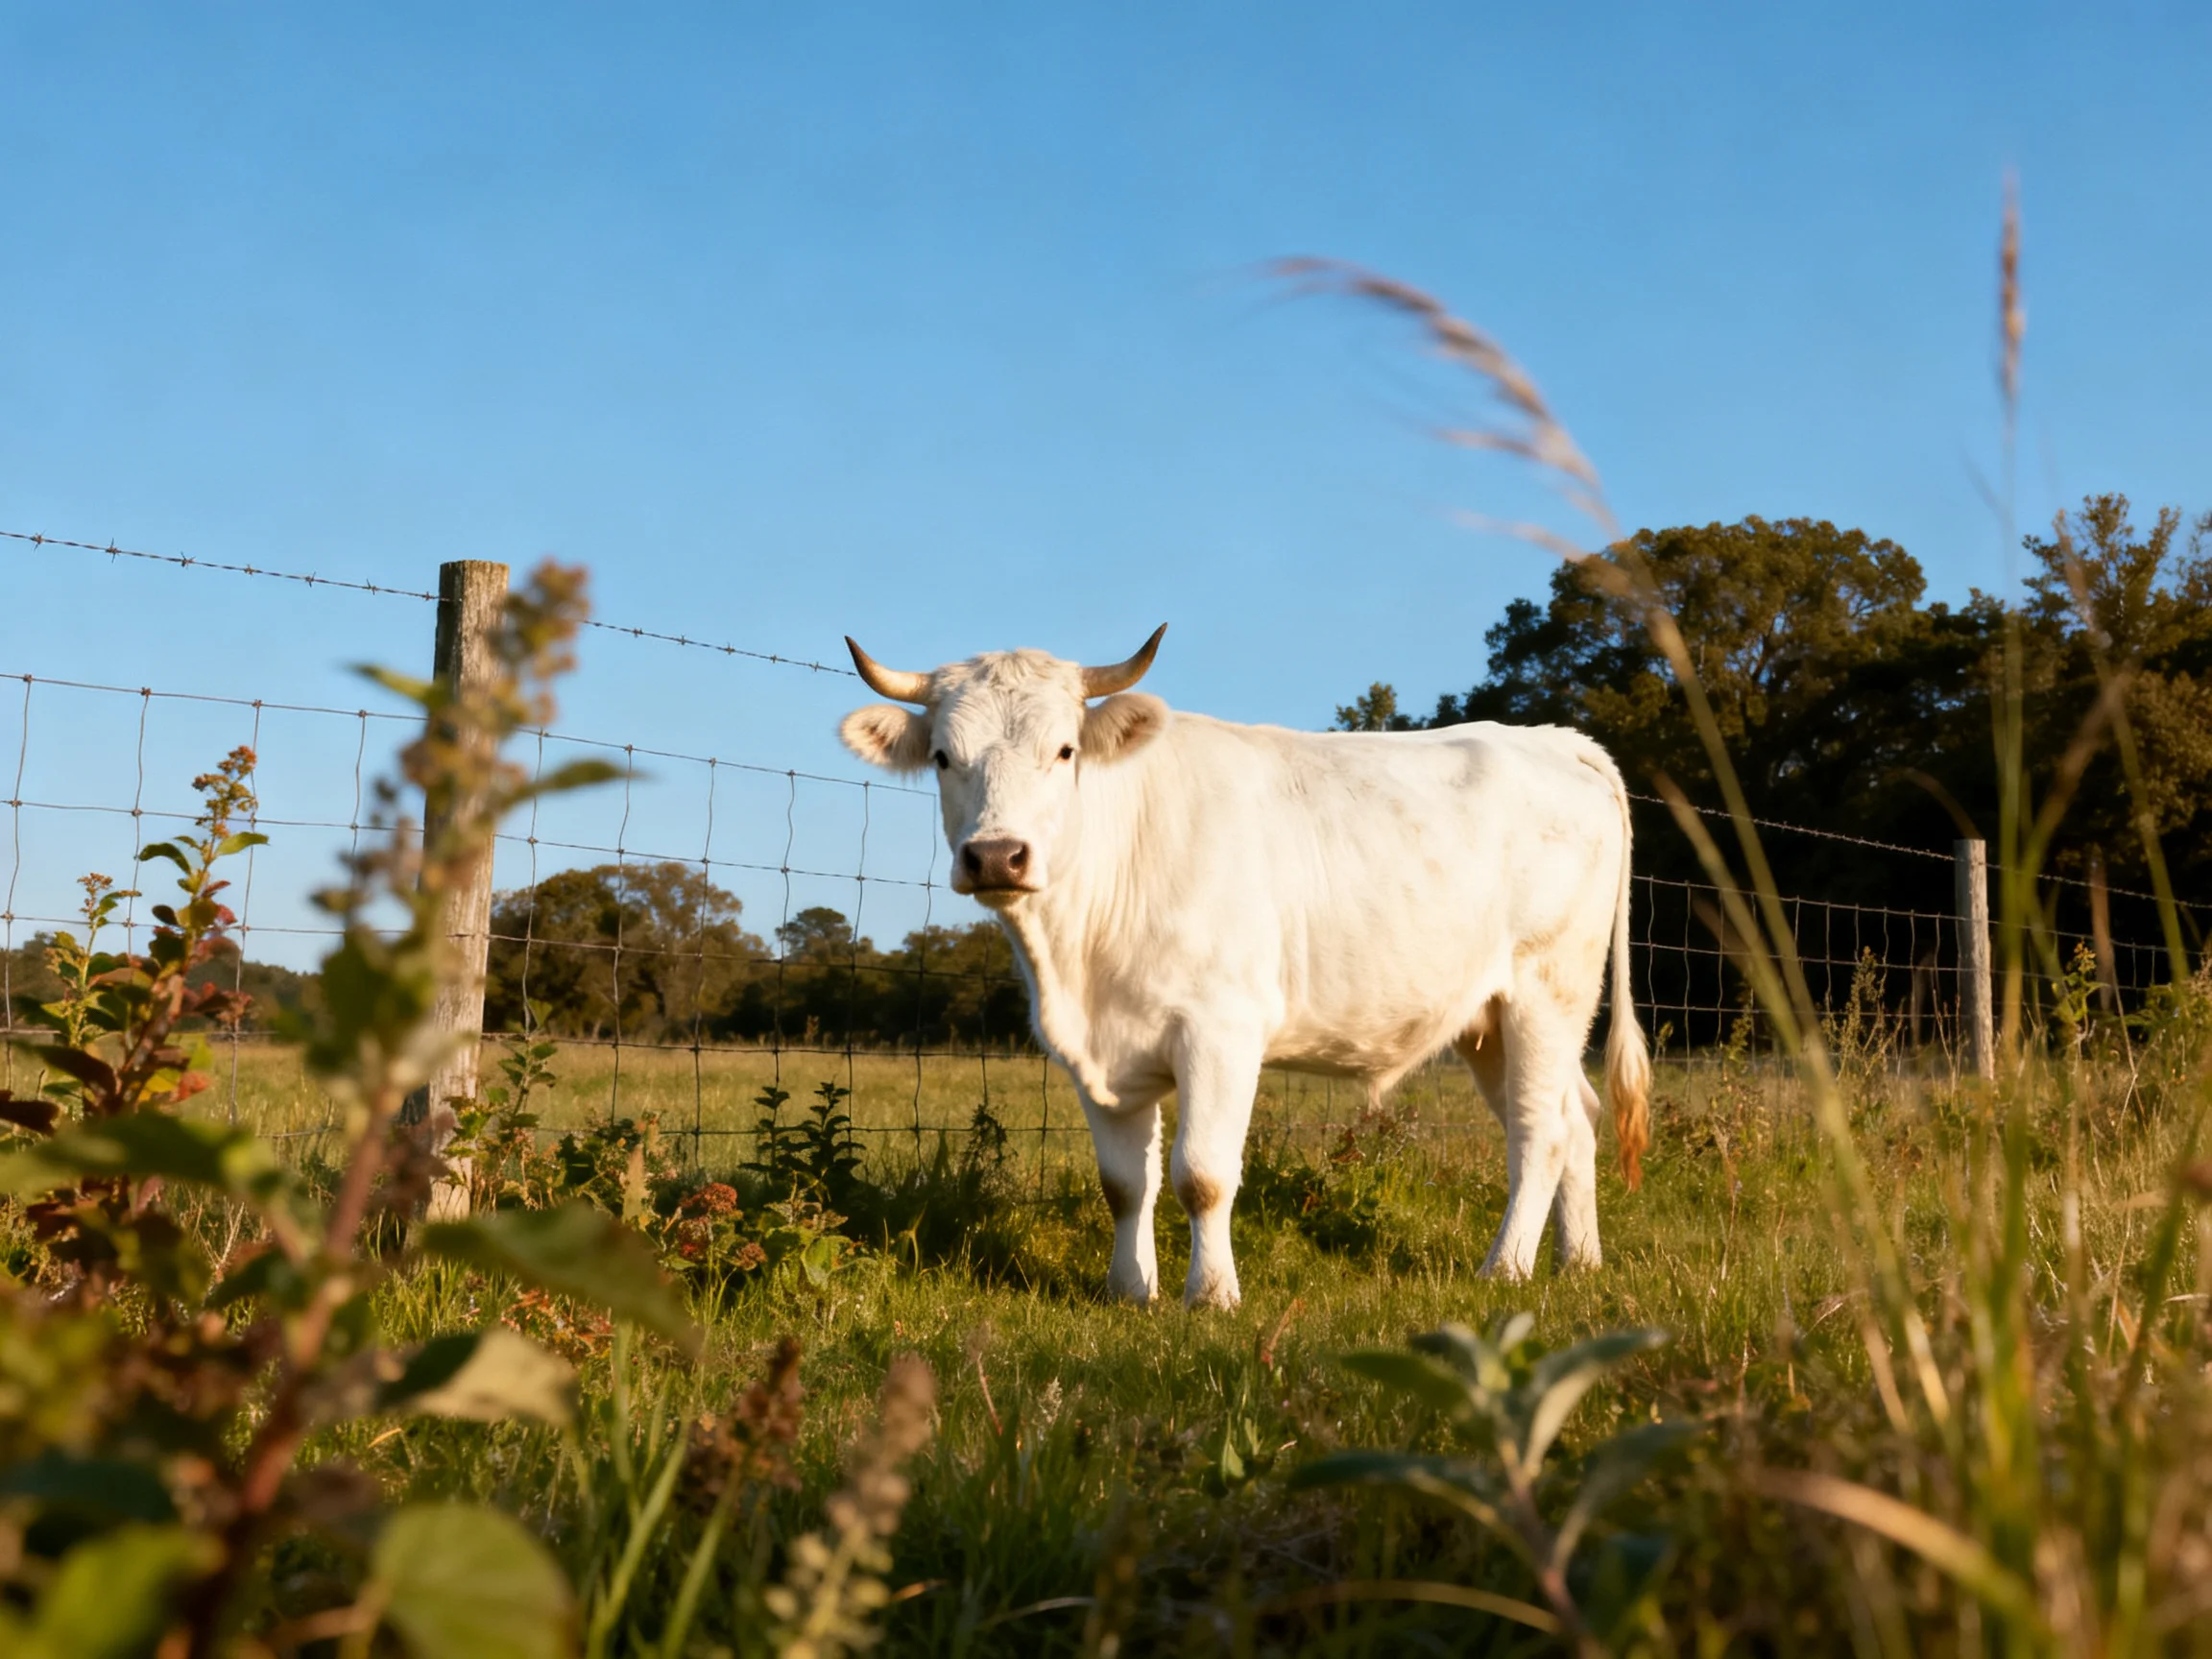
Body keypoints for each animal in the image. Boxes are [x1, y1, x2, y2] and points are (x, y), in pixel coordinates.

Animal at [838, 625, 1650, 1308]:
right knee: (1577, 1117)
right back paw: (1579, 1263)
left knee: (1540, 1132)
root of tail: (1553, 740)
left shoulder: (1220, 1030)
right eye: (943, 757)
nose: (997, 855)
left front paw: (1211, 1295)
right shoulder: (1095, 1053)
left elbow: (1201, 1175)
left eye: (1065, 751)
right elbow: (1124, 1184)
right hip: (1486, 1021)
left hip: (1549, 991)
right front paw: (1129, 1291)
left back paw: (1505, 1269)